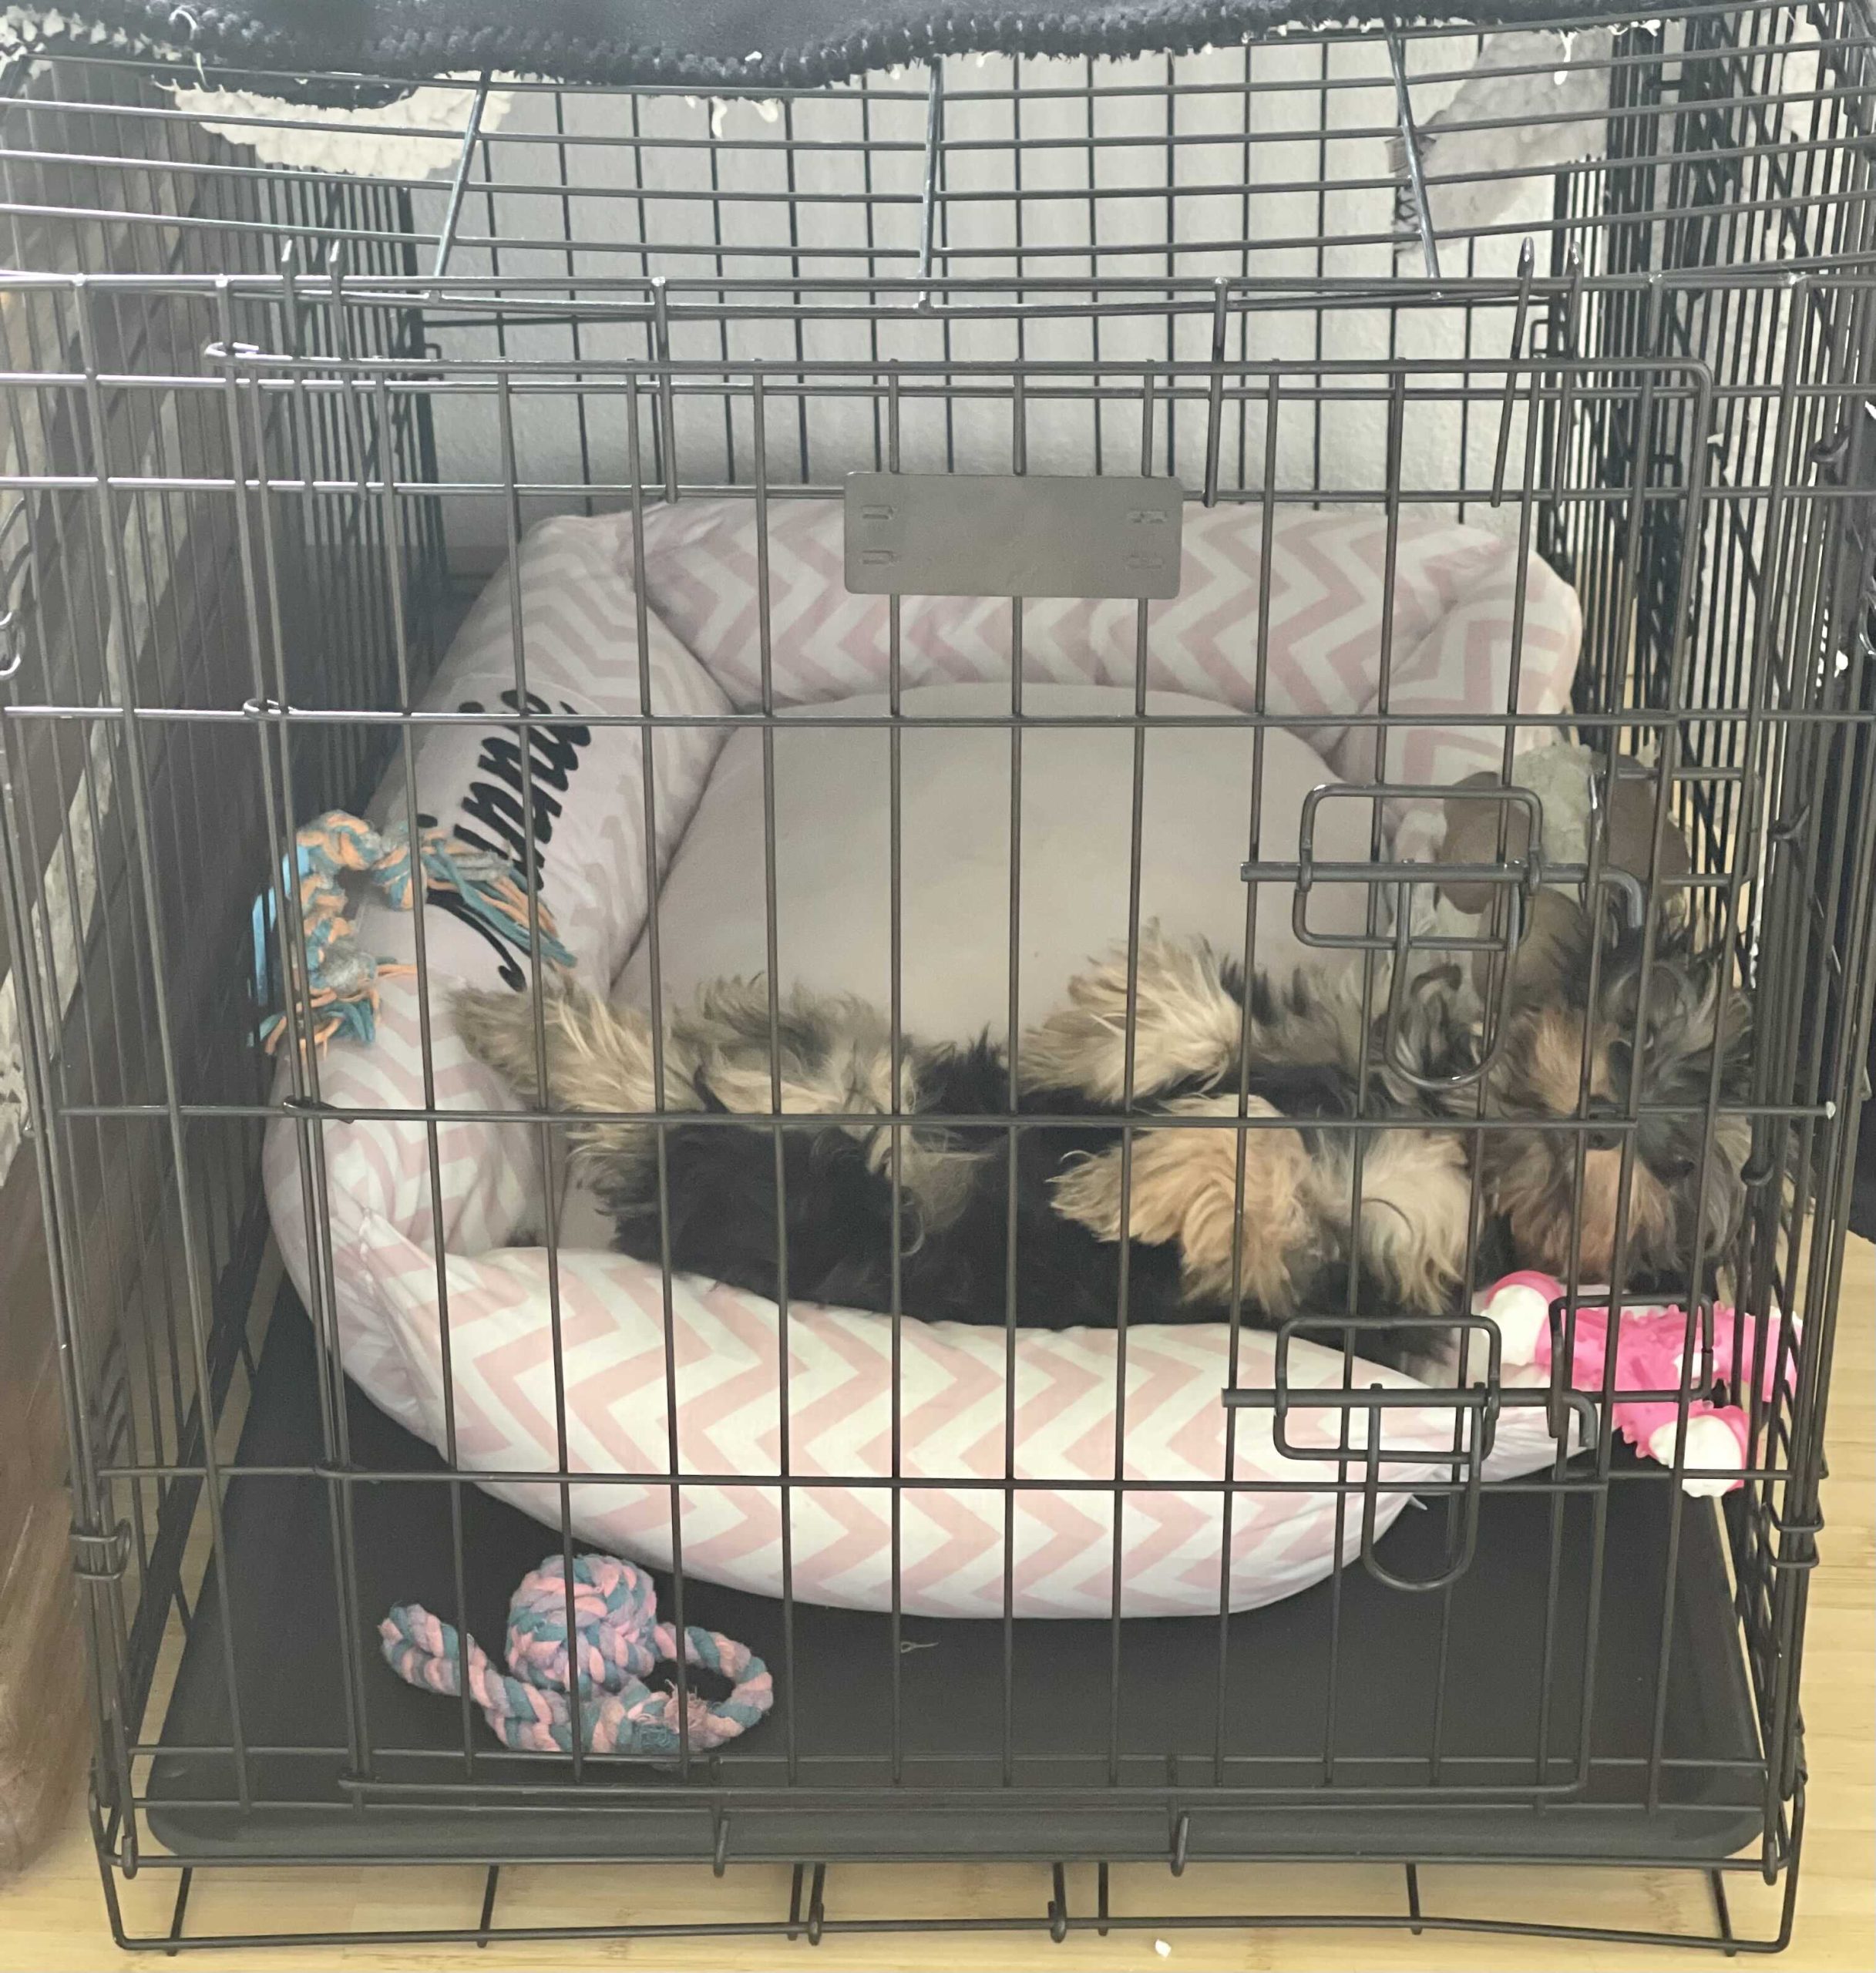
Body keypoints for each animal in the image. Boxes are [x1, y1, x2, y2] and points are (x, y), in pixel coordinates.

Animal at [453, 893, 1751, 1377]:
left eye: (1684, 1166)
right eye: (1632, 1040)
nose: (1614, 1124)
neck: (1453, 1124)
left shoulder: (1365, 1273)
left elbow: (1263, 1161)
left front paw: (1118, 1186)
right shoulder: (1326, 1041)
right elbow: (1219, 1033)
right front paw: (1102, 1041)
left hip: (814, 1187)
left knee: (693, 1113)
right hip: (861, 1108)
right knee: (779, 1078)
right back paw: (542, 1023)